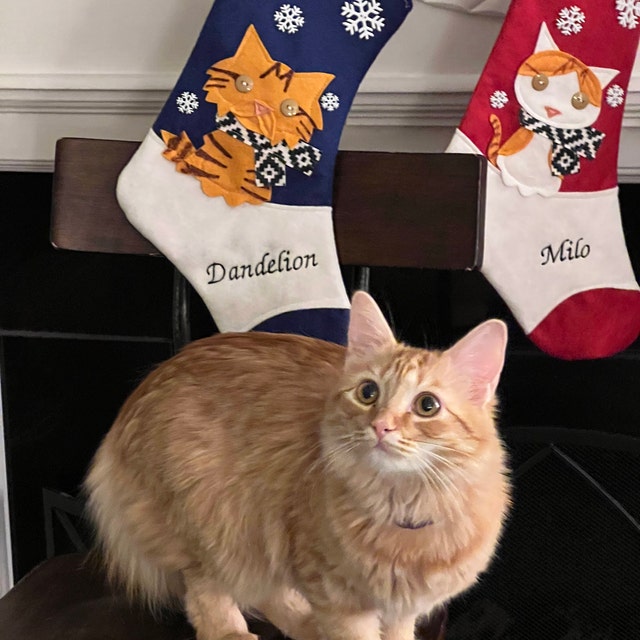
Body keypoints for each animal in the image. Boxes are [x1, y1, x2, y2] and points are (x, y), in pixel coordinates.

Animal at [85, 291, 511, 640]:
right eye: (368, 392)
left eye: (427, 405)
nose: (380, 426)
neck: (405, 507)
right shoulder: (336, 595)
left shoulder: (401, 611)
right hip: (214, 519)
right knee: (207, 587)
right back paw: (233, 632)